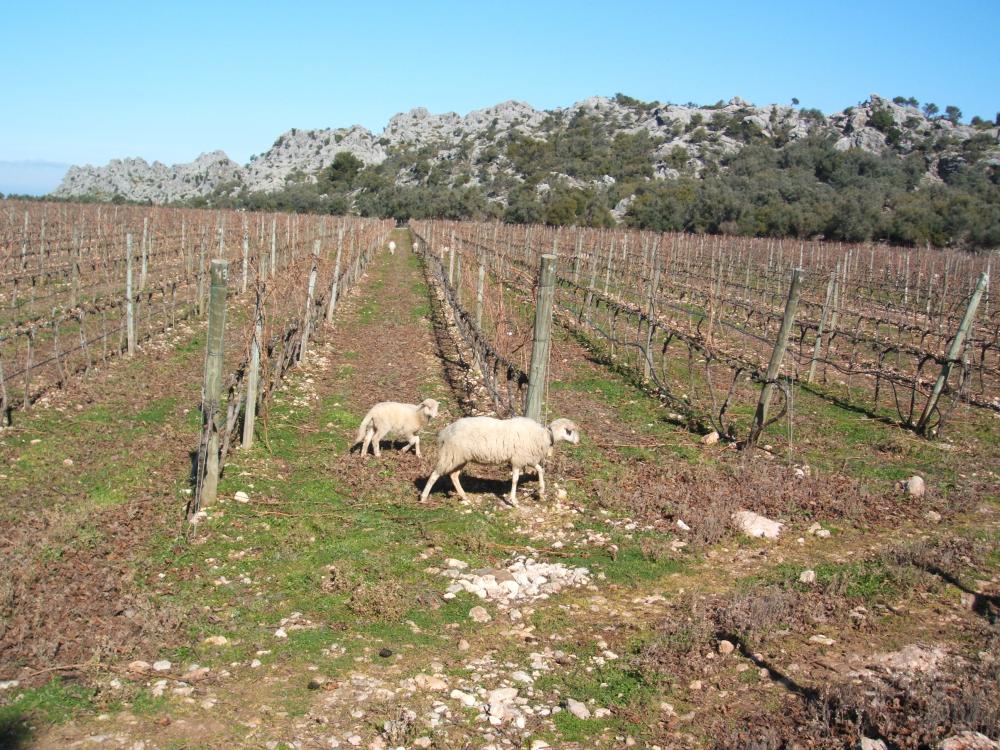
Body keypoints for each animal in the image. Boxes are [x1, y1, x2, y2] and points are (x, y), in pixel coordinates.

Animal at [420, 418, 580, 506]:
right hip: (452, 454)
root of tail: (445, 432)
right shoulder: (518, 459)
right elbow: (515, 480)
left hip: (460, 457)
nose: (578, 442)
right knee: (435, 474)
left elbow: (541, 470)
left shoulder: (527, 458)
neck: (545, 435)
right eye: (570, 431)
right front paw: (514, 500)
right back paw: (423, 497)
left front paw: (541, 491)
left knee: (453, 476)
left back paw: (464, 496)